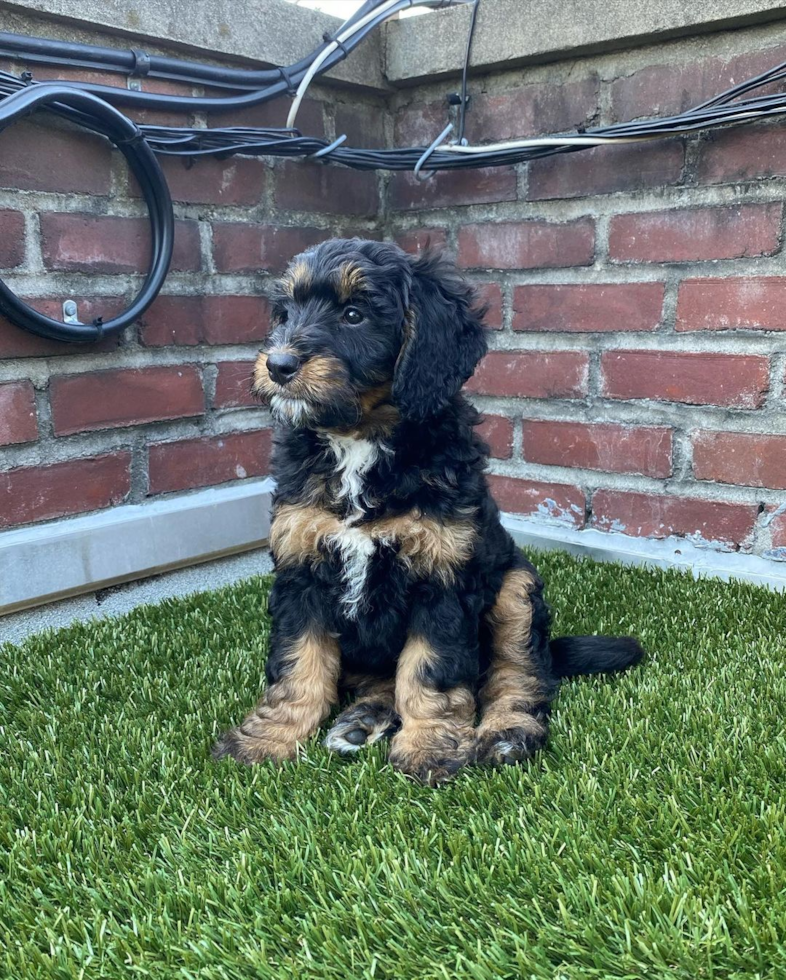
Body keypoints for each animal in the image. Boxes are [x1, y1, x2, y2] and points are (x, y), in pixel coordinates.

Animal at [214, 239, 644, 788]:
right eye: (285, 313)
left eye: (354, 315)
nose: (279, 365)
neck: (361, 440)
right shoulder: (300, 568)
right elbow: (298, 665)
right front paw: (268, 738)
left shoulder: (443, 576)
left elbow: (427, 669)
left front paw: (429, 746)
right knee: (382, 680)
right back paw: (359, 722)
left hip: (515, 588)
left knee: (519, 673)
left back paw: (506, 733)